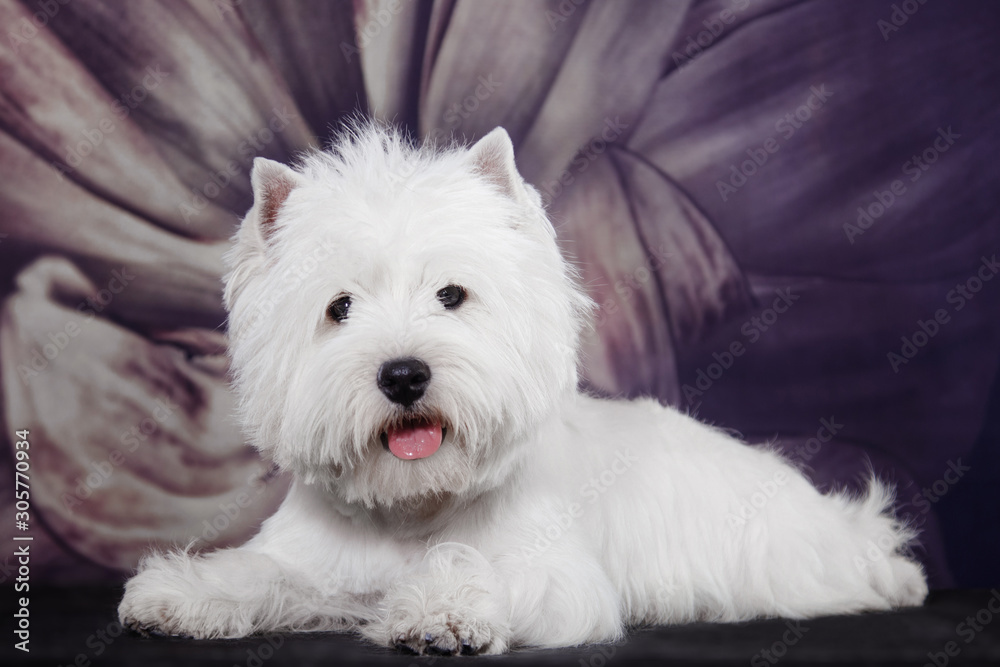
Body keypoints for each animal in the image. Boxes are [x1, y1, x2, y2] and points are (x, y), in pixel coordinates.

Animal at [119, 122, 928, 656]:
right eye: (339, 307)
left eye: (451, 294)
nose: (404, 374)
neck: (417, 504)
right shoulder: (317, 567)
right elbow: (261, 573)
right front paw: (180, 595)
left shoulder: (560, 581)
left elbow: (472, 565)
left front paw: (441, 613)